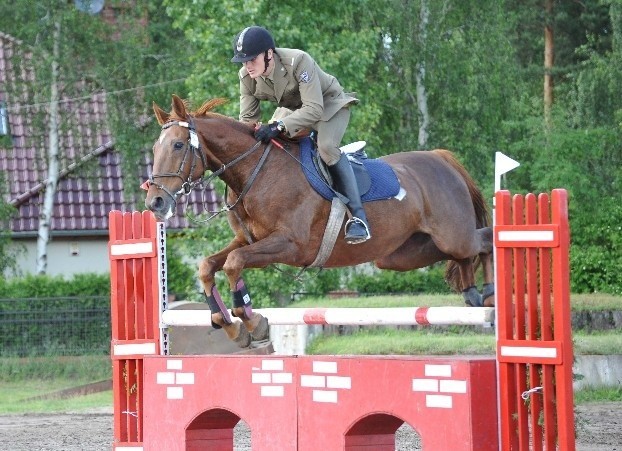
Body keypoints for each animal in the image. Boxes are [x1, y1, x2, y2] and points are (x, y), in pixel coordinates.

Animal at [146, 94, 498, 350]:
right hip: (402, 255)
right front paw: (231, 327)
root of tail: (441, 158)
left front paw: (253, 322)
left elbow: (233, 264)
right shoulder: (249, 241)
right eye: (155, 147)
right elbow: (208, 265)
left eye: (178, 145)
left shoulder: (290, 245)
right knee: (462, 255)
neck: (256, 171)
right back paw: (472, 293)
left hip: (451, 235)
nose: (155, 203)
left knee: (483, 239)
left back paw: (490, 294)